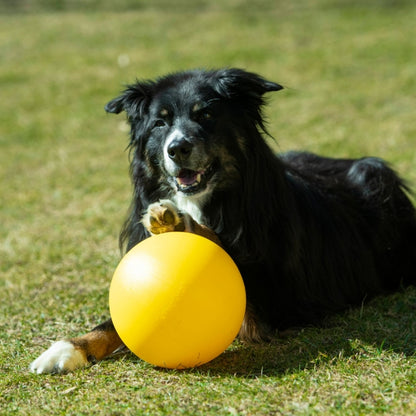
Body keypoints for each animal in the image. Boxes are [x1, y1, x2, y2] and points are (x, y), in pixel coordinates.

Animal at [30, 68, 416, 374]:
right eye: (160, 122)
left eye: (206, 115)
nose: (177, 148)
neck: (211, 200)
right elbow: (113, 322)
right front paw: (68, 347)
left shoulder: (281, 300)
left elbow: (223, 246)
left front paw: (179, 221)